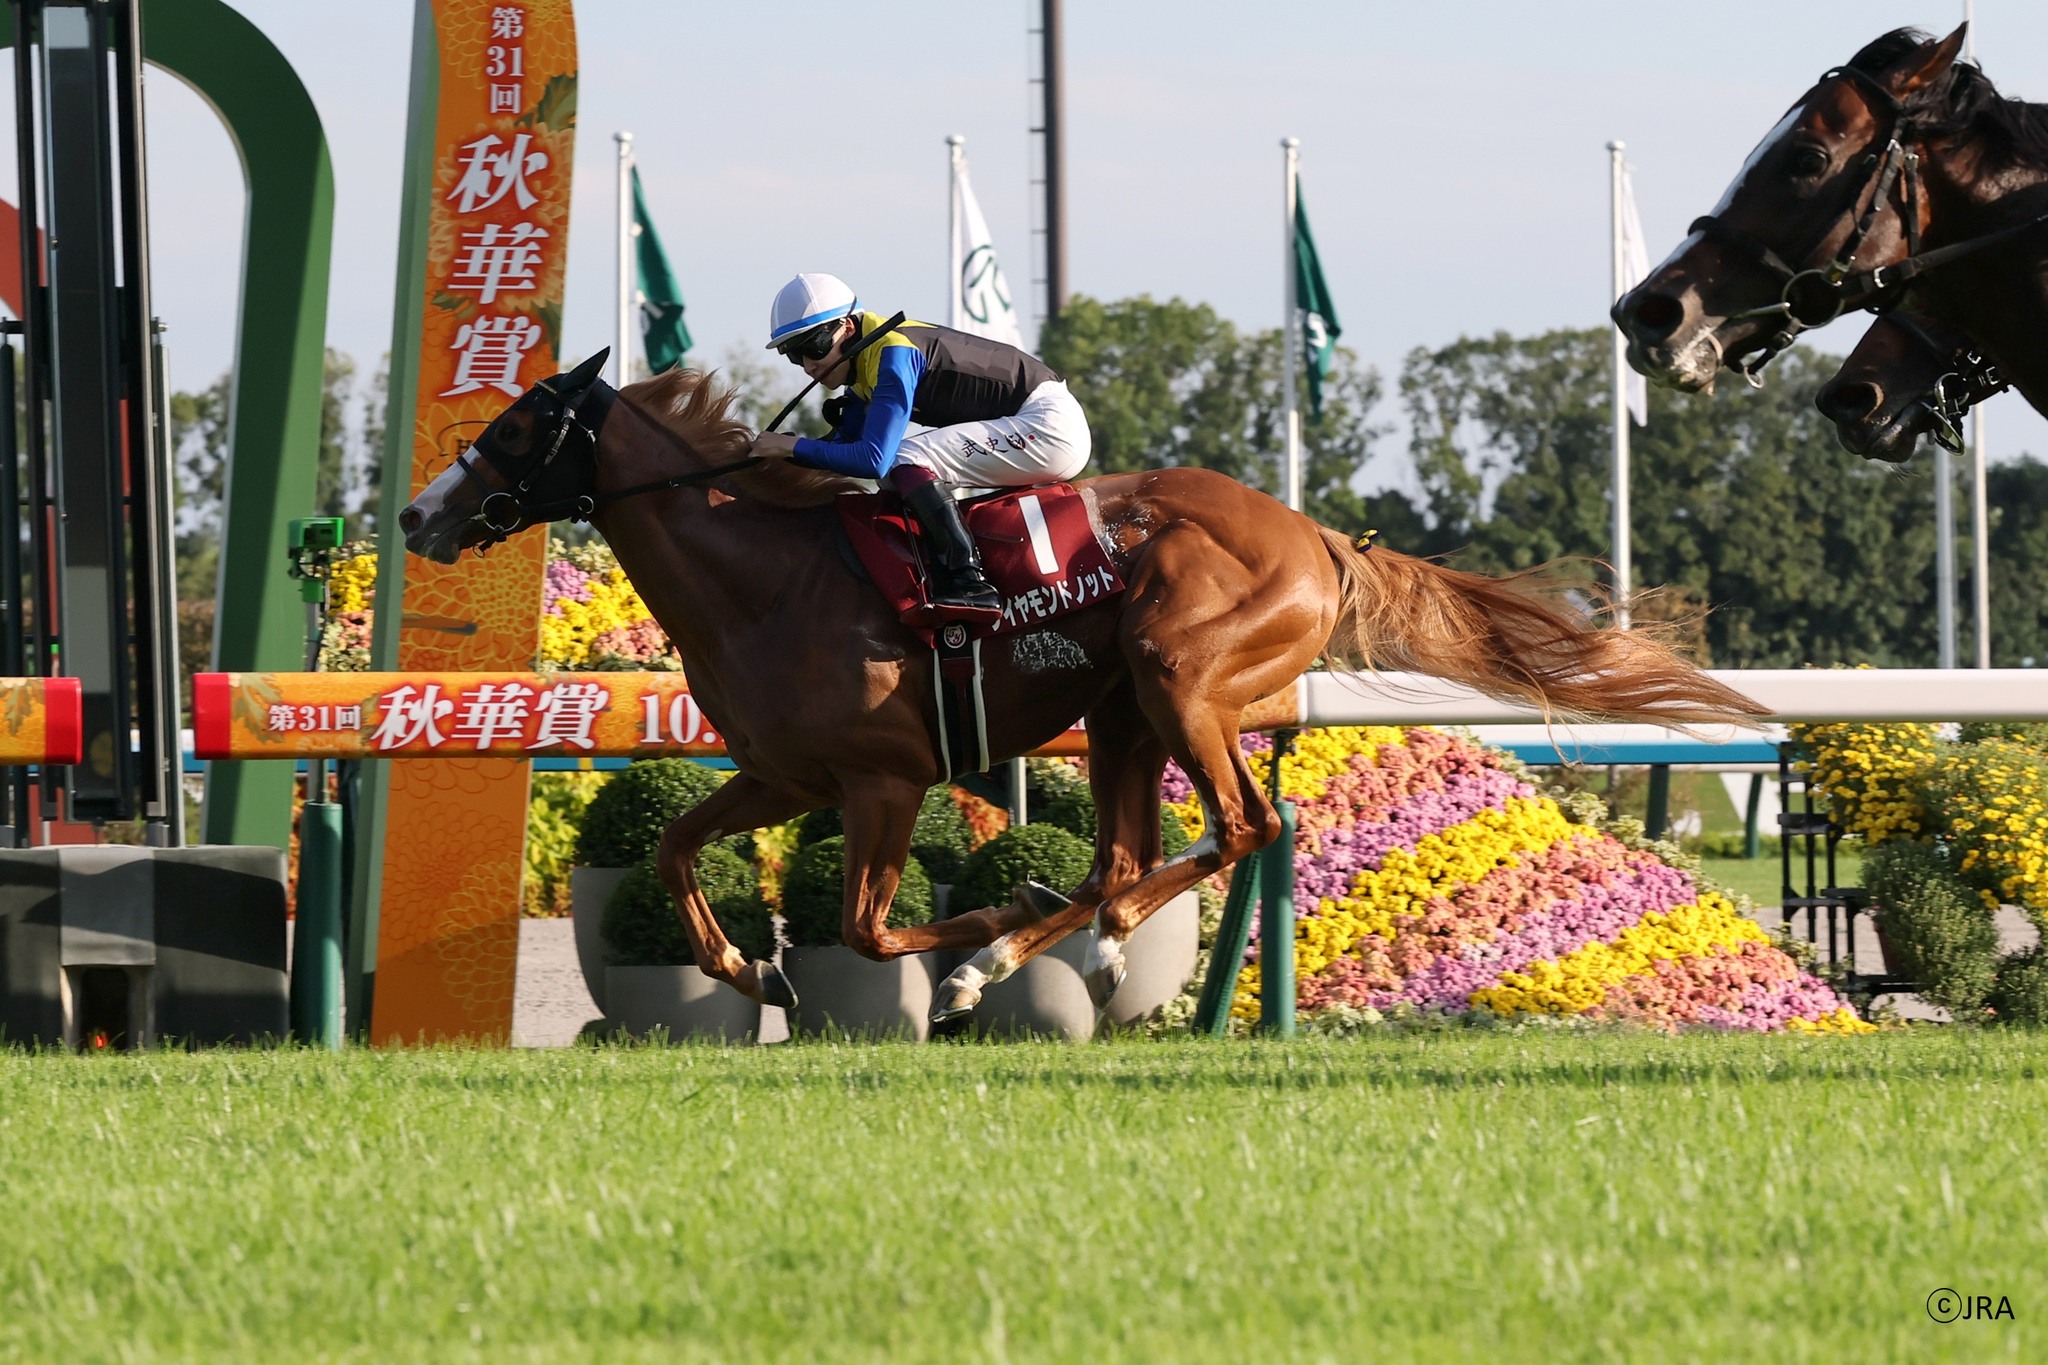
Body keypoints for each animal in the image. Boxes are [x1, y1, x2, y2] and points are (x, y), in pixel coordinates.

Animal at [397, 354, 1764, 1030]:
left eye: (514, 431)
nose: (416, 514)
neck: (763, 572)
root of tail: (1316, 537)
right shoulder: (786, 771)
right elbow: (676, 844)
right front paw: (748, 974)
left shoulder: (887, 778)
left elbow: (870, 928)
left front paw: (983, 937)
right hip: (1121, 709)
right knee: (1132, 855)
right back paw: (1074, 937)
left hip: (1179, 675)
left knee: (1242, 825)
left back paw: (1049, 946)